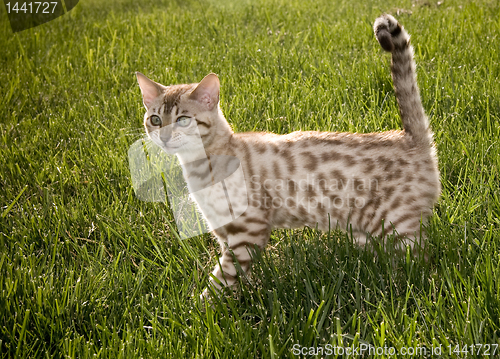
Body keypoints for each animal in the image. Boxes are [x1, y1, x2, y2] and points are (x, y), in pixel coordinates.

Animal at [135, 14, 440, 298]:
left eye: (183, 120)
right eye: (155, 119)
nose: (163, 136)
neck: (198, 168)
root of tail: (410, 138)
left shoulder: (247, 231)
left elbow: (222, 280)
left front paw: (202, 308)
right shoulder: (224, 232)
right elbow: (236, 276)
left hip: (396, 226)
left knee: (421, 264)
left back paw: (403, 287)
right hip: (364, 229)